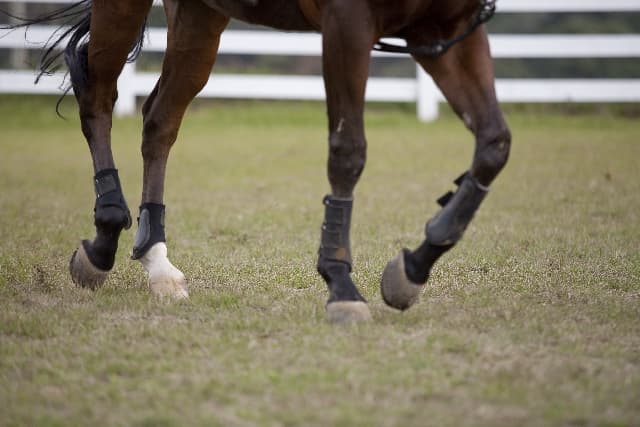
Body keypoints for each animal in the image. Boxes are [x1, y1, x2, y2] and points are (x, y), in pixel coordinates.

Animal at [2, 0, 510, 323]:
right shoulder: (348, 23)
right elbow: (348, 152)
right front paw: (340, 284)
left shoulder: (446, 28)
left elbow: (494, 144)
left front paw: (412, 270)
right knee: (98, 98)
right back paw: (105, 239)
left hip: (199, 17)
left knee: (159, 122)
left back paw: (157, 262)